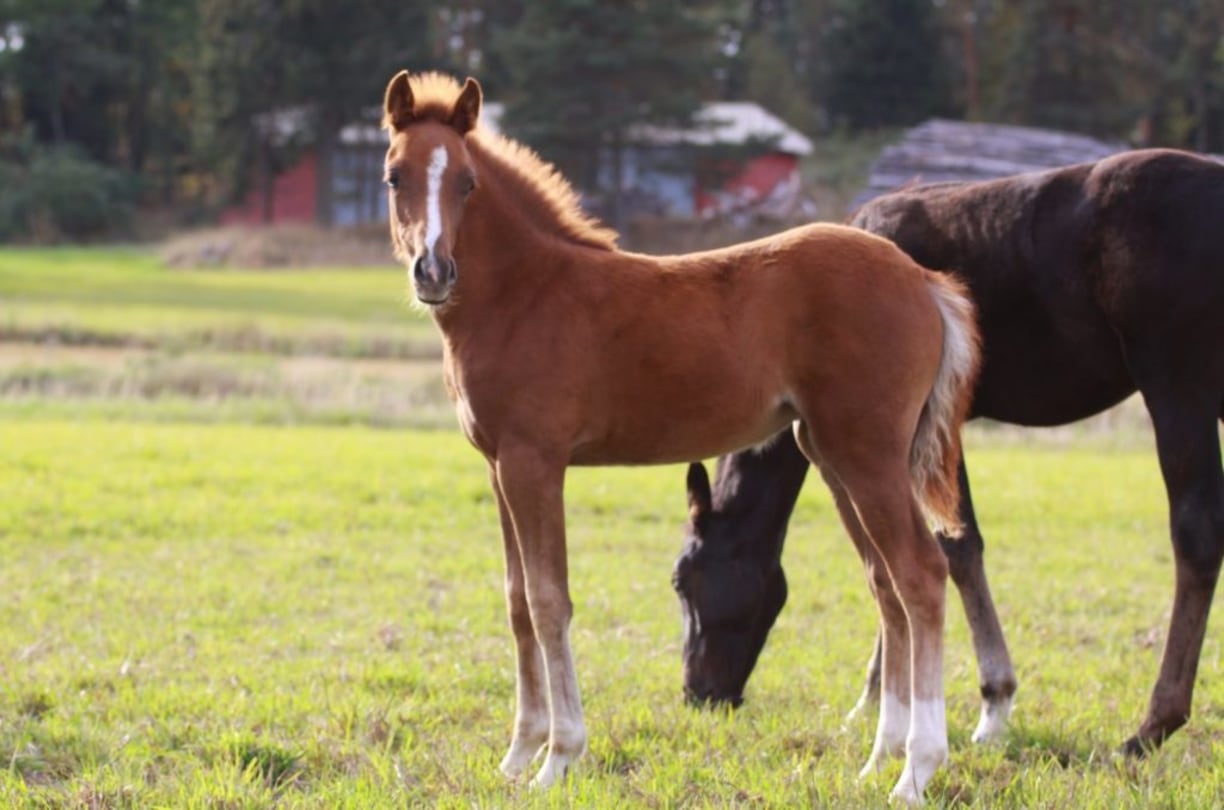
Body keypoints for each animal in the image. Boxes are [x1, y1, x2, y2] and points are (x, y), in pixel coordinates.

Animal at [386, 71, 979, 807]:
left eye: (467, 182)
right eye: (394, 176)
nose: (433, 272)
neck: (524, 295)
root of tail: (923, 281)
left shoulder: (535, 461)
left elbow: (551, 600)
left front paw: (559, 757)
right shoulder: (498, 466)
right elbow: (518, 600)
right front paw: (517, 756)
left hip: (867, 453)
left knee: (920, 574)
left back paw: (915, 770)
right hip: (834, 452)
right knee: (886, 582)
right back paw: (878, 761)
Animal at [675, 147, 1224, 763]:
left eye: (684, 580)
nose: (699, 694)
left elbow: (951, 548)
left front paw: (989, 704)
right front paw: (883, 697)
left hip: (1177, 386)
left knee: (1197, 534)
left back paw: (1154, 723)